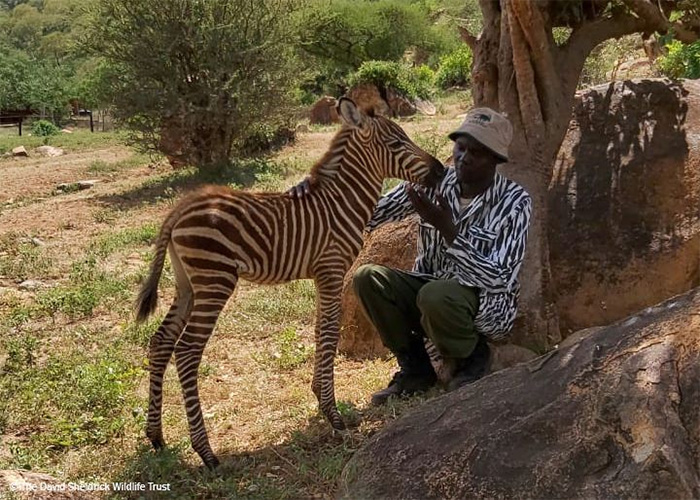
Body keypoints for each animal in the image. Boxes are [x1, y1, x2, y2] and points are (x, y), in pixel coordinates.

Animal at [134, 98, 446, 468]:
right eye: (397, 143)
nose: (441, 170)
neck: (340, 203)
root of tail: (181, 207)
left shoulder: (320, 275)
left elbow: (319, 331)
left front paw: (320, 399)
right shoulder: (331, 270)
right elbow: (329, 333)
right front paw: (333, 415)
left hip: (188, 283)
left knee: (161, 341)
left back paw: (156, 436)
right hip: (214, 281)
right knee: (186, 351)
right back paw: (206, 453)